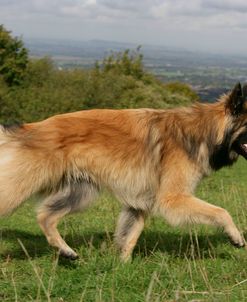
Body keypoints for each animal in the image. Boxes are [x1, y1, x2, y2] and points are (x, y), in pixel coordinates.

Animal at [0, 82, 246, 260]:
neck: (204, 131)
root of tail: (31, 128)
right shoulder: (173, 198)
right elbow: (221, 211)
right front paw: (235, 236)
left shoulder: (140, 203)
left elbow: (130, 236)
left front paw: (123, 266)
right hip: (22, 187)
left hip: (81, 193)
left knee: (45, 216)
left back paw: (66, 250)